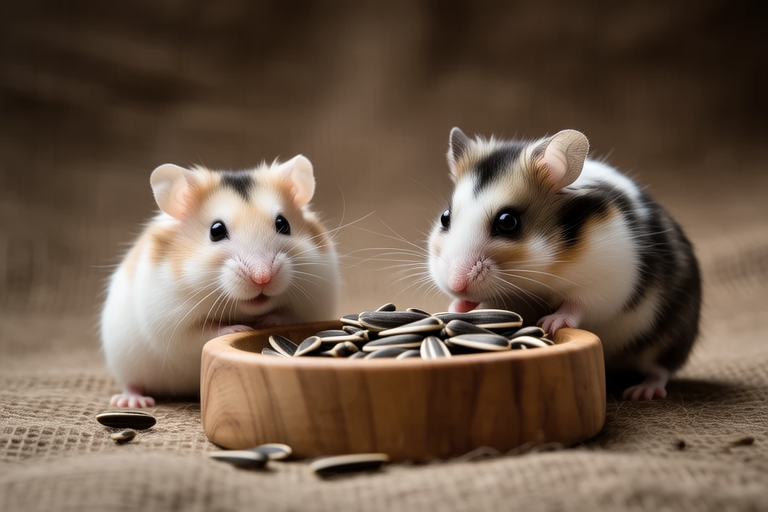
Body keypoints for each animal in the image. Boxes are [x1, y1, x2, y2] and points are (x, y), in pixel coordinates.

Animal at [101, 155, 340, 407]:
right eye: (216, 230)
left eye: (283, 224)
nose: (262, 278)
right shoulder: (174, 326)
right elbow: (204, 333)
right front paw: (241, 328)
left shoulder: (312, 305)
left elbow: (289, 317)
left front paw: (265, 322)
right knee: (132, 383)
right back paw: (131, 402)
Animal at [428, 127, 701, 401]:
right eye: (445, 217)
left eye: (508, 222)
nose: (455, 285)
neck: (543, 271)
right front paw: (455, 306)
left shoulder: (605, 284)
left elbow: (577, 304)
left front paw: (549, 323)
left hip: (666, 340)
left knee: (660, 369)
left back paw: (641, 392)